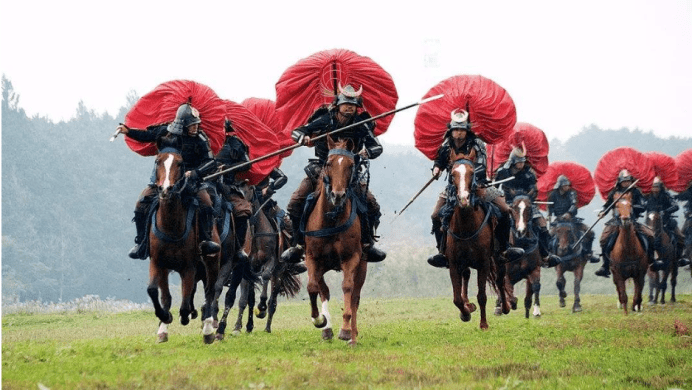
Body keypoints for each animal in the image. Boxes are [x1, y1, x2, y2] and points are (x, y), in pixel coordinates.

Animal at [146, 136, 219, 344]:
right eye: (157, 161)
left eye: (179, 163)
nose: (165, 190)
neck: (171, 226)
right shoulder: (158, 263)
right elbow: (156, 292)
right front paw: (164, 320)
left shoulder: (189, 267)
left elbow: (186, 303)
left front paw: (184, 316)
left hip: (212, 263)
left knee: (210, 292)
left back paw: (208, 330)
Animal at [302, 136, 368, 346]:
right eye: (329, 163)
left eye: (350, 165)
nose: (337, 195)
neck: (331, 219)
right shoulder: (312, 258)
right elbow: (313, 287)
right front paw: (319, 320)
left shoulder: (351, 258)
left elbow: (348, 288)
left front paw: (346, 330)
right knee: (323, 290)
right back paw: (327, 329)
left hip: (362, 265)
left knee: (355, 296)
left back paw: (352, 337)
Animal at [444, 150, 508, 330]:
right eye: (453, 174)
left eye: (472, 173)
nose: (463, 199)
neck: (466, 227)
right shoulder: (454, 264)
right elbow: (456, 298)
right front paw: (466, 312)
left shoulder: (483, 263)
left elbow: (482, 295)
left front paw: (484, 324)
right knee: (466, 276)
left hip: (498, 258)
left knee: (500, 279)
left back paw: (506, 306)